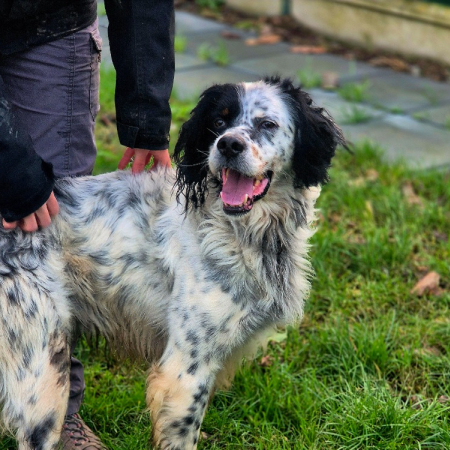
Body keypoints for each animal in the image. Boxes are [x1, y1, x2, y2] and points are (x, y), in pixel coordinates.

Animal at [0, 77, 345, 450]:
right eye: (218, 122)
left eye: (267, 124)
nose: (228, 145)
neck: (243, 233)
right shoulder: (186, 369)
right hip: (41, 374)